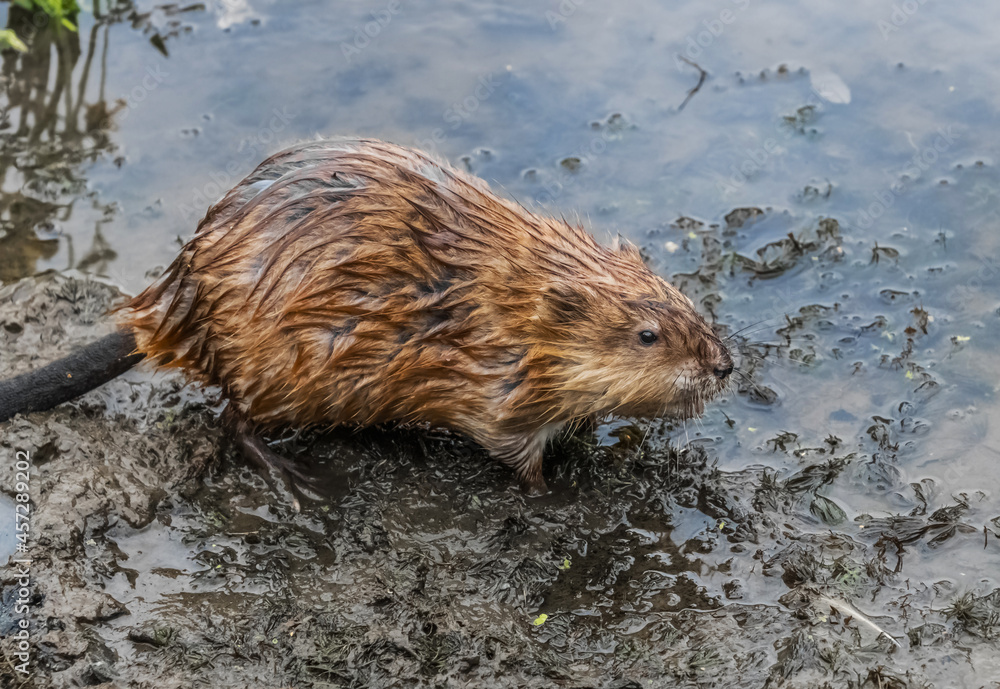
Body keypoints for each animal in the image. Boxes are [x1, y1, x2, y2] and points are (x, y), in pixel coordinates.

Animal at [0, 138, 732, 496]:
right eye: (648, 335)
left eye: (685, 305)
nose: (723, 366)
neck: (507, 307)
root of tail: (171, 310)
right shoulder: (491, 391)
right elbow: (514, 454)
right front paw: (556, 494)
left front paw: (594, 440)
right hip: (280, 369)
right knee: (233, 420)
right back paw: (300, 485)